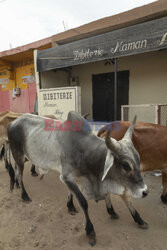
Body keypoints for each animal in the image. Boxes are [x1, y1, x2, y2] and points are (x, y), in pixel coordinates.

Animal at [7, 111, 148, 246]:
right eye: (126, 165)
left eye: (138, 160)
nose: (144, 191)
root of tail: (13, 123)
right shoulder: (66, 176)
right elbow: (83, 202)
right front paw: (90, 231)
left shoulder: (74, 177)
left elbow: (72, 193)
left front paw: (70, 206)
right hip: (18, 155)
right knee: (19, 175)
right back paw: (24, 195)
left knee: (16, 172)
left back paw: (16, 186)